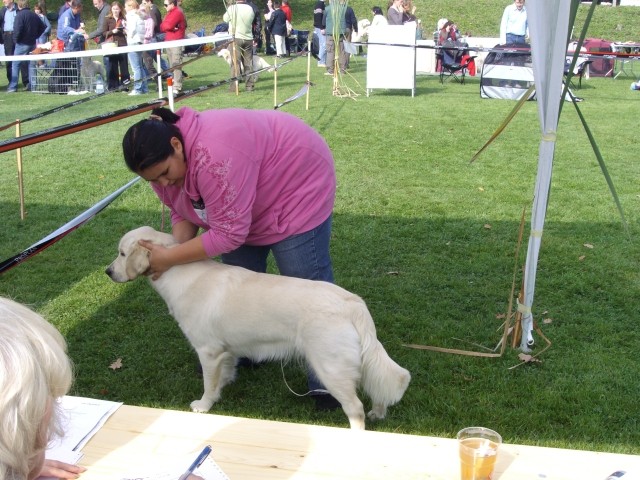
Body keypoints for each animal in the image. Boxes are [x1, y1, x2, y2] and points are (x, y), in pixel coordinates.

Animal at [106, 227, 410, 430]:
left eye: (121, 253)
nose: (108, 272)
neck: (177, 272)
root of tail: (352, 303)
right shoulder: (225, 350)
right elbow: (224, 374)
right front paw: (223, 388)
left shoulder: (208, 350)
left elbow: (208, 383)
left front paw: (203, 405)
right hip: (359, 358)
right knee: (376, 387)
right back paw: (378, 414)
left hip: (330, 366)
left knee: (355, 407)